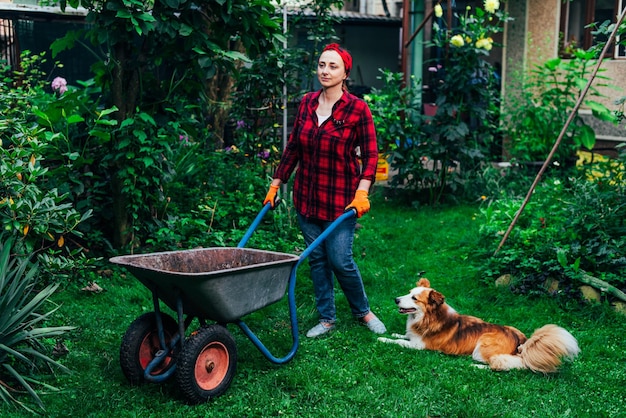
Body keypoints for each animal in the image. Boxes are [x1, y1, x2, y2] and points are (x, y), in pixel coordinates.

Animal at [372, 280, 576, 374]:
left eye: (414, 298)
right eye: (408, 293)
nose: (396, 299)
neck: (427, 318)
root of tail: (524, 342)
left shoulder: (419, 346)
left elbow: (398, 342)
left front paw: (383, 339)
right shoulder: (413, 337)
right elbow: (402, 335)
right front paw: (394, 332)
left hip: (482, 347)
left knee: (502, 364)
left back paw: (474, 366)